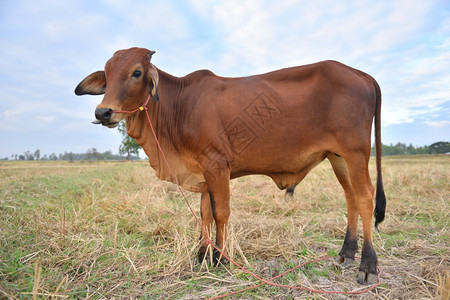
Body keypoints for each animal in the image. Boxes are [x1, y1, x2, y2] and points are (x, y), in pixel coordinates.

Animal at [75, 47, 384, 284]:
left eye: (136, 72)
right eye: (107, 75)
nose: (103, 112)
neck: (179, 106)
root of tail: (361, 74)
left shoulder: (217, 165)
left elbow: (220, 213)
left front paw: (221, 258)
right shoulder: (202, 170)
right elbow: (204, 214)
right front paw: (202, 254)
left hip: (355, 152)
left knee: (365, 197)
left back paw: (367, 265)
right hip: (337, 157)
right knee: (350, 197)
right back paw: (346, 253)